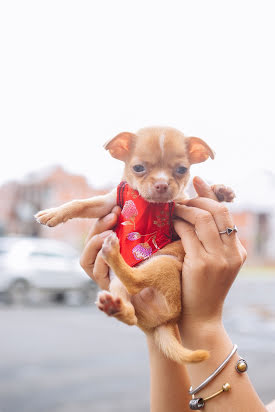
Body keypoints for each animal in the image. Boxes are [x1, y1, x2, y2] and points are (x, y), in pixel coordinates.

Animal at [35, 126, 236, 364]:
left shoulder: (180, 204)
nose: (162, 184)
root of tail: (168, 320)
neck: (149, 205)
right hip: (118, 285)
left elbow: (192, 200)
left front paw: (220, 191)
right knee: (130, 313)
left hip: (163, 262)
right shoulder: (107, 202)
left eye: (182, 169)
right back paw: (116, 306)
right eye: (138, 168)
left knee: (135, 281)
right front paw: (53, 213)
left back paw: (112, 253)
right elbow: (81, 204)